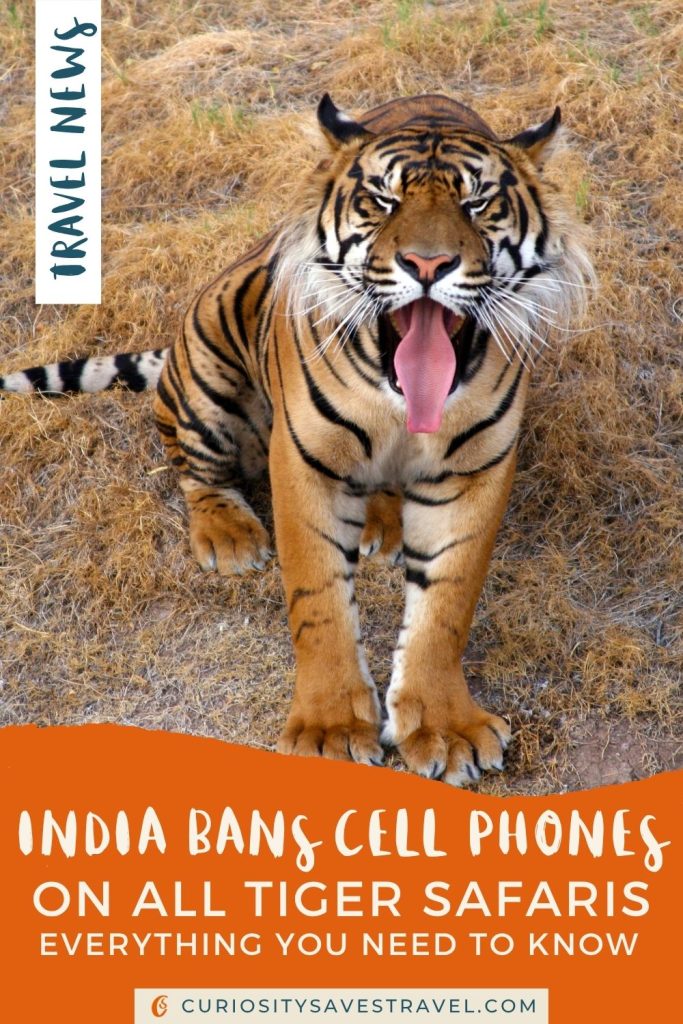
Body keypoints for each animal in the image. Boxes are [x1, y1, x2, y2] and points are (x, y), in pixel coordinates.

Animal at [1, 93, 592, 785]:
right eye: (384, 200)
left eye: (476, 204)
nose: (428, 264)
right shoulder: (305, 459)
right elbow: (320, 602)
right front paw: (332, 732)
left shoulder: (475, 470)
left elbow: (446, 606)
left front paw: (444, 728)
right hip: (209, 367)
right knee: (192, 465)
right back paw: (230, 537)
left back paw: (382, 523)